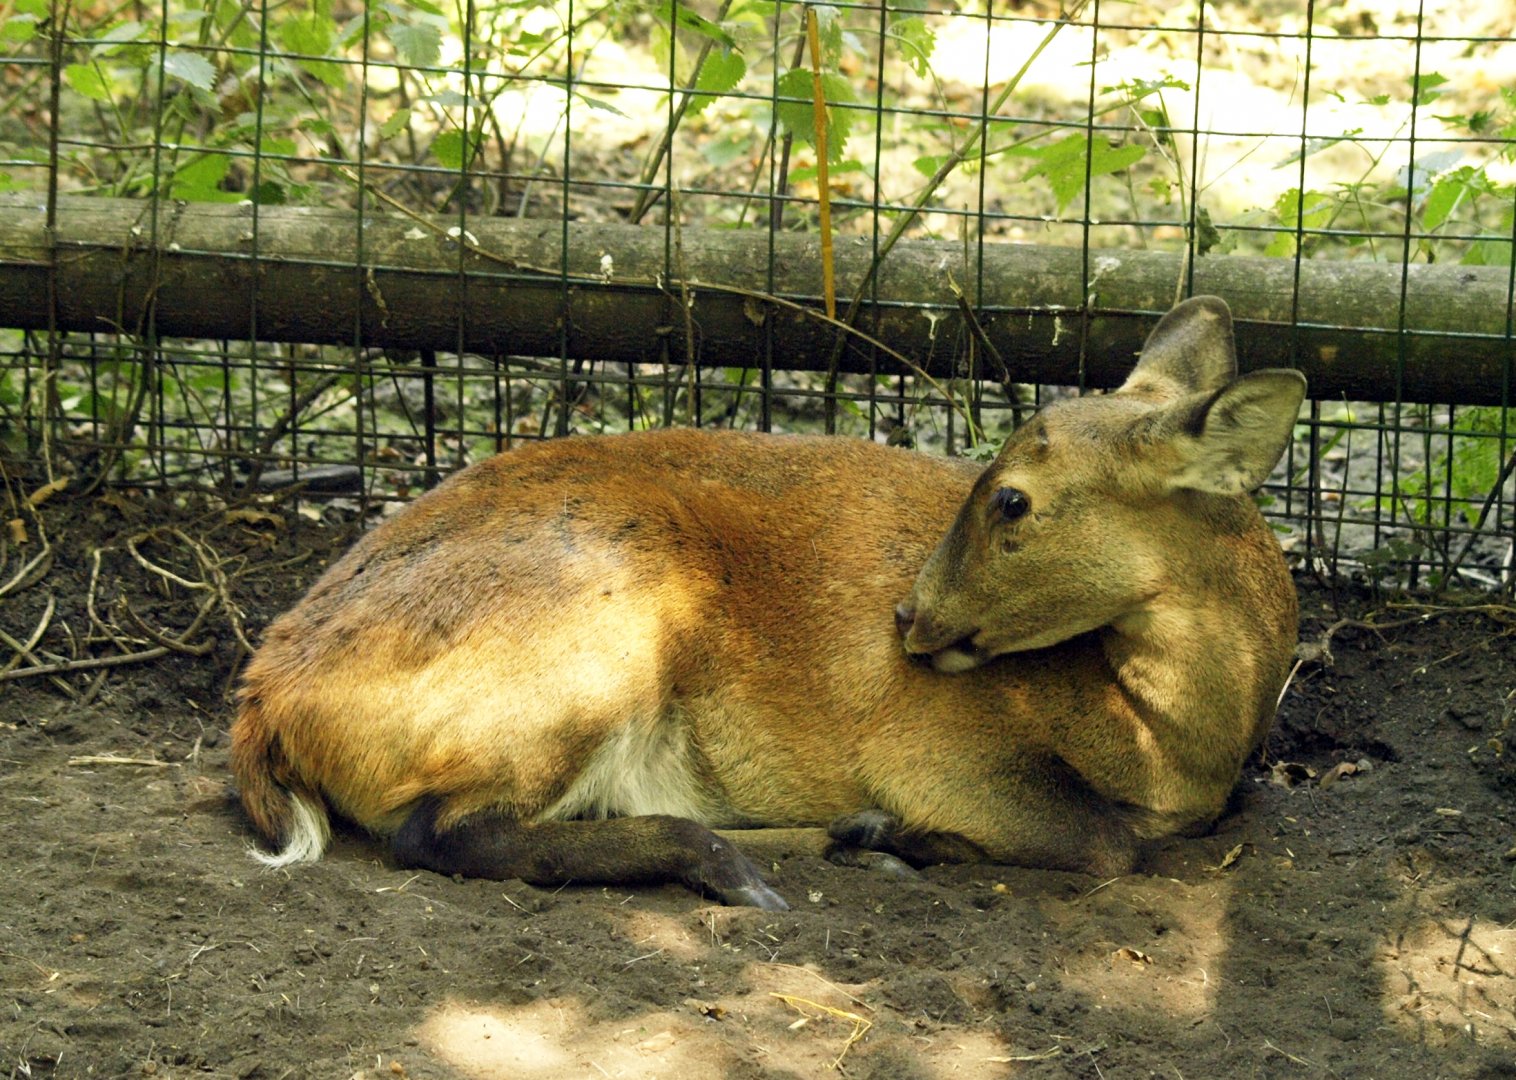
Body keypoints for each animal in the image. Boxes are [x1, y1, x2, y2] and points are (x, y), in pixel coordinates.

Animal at [231, 295, 1305, 911]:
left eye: (1011, 499)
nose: (907, 619)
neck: (1161, 742)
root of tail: (267, 699)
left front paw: (877, 836)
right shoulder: (941, 748)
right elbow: (1108, 842)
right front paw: (901, 833)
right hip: (595, 646)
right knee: (443, 833)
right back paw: (752, 867)